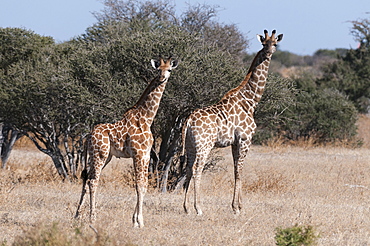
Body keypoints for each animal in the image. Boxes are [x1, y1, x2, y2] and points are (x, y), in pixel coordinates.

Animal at [74, 56, 178, 228]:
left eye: (169, 69)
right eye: (158, 69)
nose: (162, 78)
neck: (147, 118)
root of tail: (88, 136)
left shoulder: (146, 155)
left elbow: (144, 185)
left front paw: (136, 219)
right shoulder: (138, 154)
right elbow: (138, 185)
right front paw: (139, 221)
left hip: (102, 156)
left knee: (86, 178)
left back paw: (77, 215)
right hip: (100, 154)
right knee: (93, 181)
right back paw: (92, 217)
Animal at [182, 29, 284, 215]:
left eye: (275, 44)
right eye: (263, 43)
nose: (268, 53)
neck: (250, 101)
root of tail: (189, 120)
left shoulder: (234, 142)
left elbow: (236, 169)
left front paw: (238, 205)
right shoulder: (245, 139)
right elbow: (240, 170)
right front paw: (237, 207)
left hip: (190, 145)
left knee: (188, 168)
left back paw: (186, 207)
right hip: (204, 145)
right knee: (197, 168)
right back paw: (198, 207)